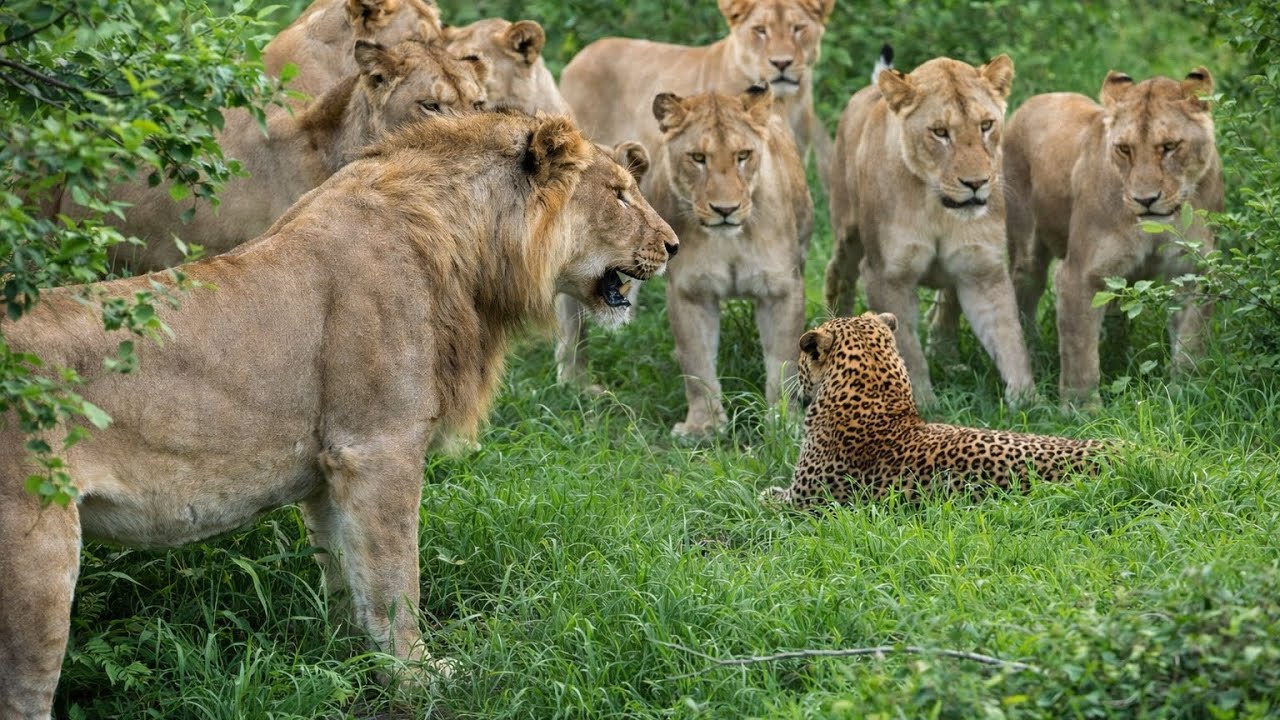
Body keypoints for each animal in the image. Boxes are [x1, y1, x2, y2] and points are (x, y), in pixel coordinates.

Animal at [0, 111, 678, 719]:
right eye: (619, 194)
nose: (672, 245)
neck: (474, 251)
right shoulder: (378, 448)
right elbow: (396, 578)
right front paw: (418, 678)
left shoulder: (329, 468)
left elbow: (347, 577)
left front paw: (349, 660)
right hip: (37, 553)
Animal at [823, 50, 1034, 407]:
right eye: (940, 132)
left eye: (986, 125)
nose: (976, 183)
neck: (938, 208)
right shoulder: (887, 275)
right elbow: (908, 349)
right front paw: (923, 403)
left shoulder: (983, 270)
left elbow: (1009, 336)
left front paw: (1028, 400)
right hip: (847, 234)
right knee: (838, 275)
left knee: (946, 305)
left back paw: (949, 359)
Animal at [1003, 69, 1223, 407]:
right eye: (1124, 149)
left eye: (1169, 146)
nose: (1145, 200)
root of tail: (1034, 100)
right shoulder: (1079, 274)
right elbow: (1079, 349)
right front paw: (1081, 409)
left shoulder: (1193, 272)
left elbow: (1190, 339)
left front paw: (1187, 392)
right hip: (1026, 252)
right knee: (1023, 302)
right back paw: (1035, 361)